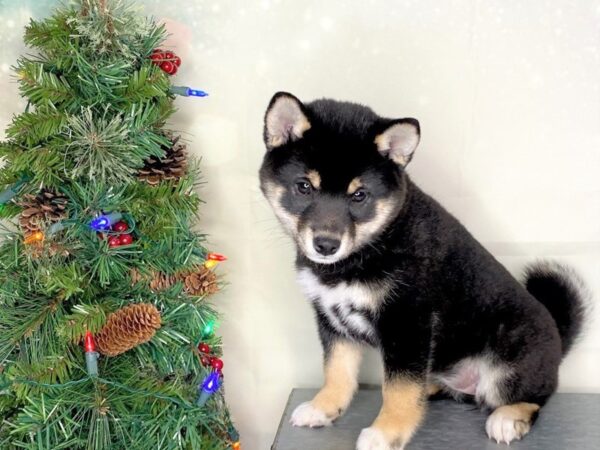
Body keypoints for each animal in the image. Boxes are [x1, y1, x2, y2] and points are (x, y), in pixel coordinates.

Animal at [258, 92, 584, 450]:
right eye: (304, 187)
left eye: (360, 195)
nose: (326, 244)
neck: (374, 246)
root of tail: (558, 339)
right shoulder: (332, 320)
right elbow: (337, 373)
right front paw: (324, 407)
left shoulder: (408, 320)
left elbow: (398, 389)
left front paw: (386, 433)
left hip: (508, 368)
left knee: (535, 397)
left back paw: (508, 418)